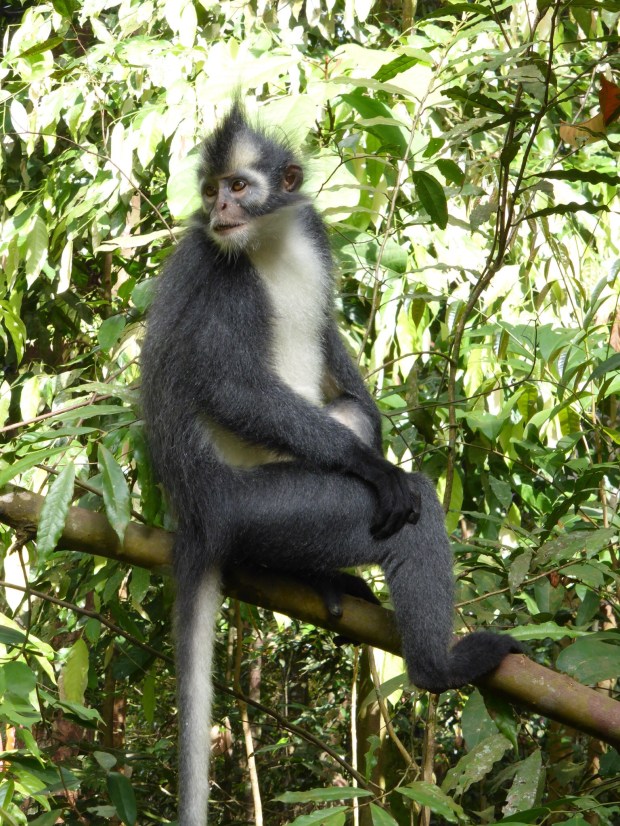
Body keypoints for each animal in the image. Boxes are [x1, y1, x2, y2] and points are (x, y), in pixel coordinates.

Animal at [140, 102, 522, 825]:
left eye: (237, 187)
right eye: (212, 191)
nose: (218, 209)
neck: (265, 243)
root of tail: (194, 517)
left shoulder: (310, 233)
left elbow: (330, 349)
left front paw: (374, 433)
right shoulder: (221, 275)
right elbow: (229, 389)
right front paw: (377, 470)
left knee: (346, 410)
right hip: (260, 505)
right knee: (408, 513)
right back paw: (437, 669)